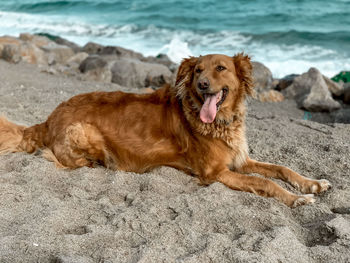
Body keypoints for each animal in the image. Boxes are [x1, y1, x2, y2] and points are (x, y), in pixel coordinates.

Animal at [0, 53, 330, 207]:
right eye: (197, 70)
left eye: (221, 68)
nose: (202, 84)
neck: (219, 123)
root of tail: (48, 118)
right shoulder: (216, 173)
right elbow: (264, 183)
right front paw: (295, 199)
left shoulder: (240, 159)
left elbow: (281, 168)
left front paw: (312, 184)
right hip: (83, 132)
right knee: (63, 160)